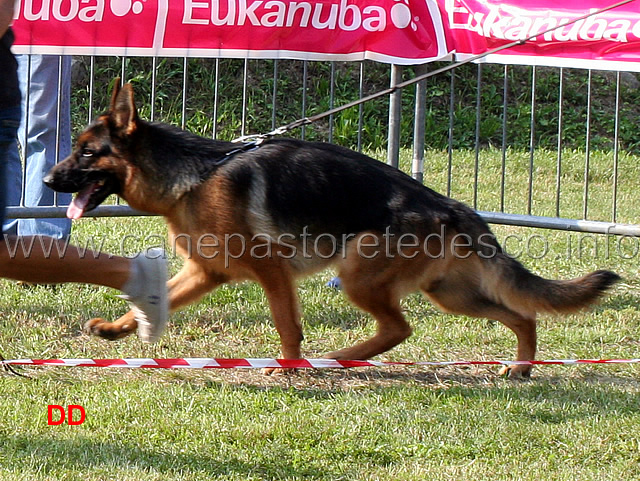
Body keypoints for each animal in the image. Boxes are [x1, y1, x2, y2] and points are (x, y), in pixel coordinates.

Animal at [41, 81, 620, 376]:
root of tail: (449, 204)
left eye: (86, 153)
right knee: (522, 315)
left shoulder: (272, 273)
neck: (196, 173)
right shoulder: (208, 272)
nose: (46, 180)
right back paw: (520, 366)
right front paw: (117, 331)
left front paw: (290, 366)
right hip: (450, 293)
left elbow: (288, 326)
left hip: (362, 274)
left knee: (399, 329)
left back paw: (336, 358)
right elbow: (147, 303)